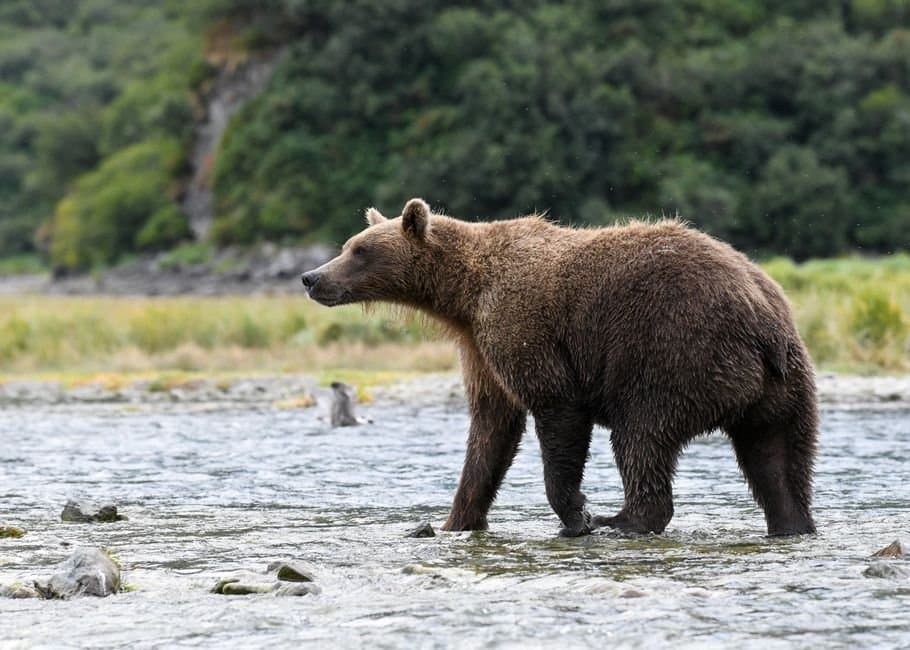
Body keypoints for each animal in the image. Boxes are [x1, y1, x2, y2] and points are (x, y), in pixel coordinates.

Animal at [301, 198, 818, 537]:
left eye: (359, 250)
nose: (311, 277)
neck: (464, 295)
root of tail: (759, 317)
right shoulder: (479, 347)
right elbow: (490, 430)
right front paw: (452, 521)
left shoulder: (522, 325)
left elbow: (556, 411)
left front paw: (578, 516)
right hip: (785, 382)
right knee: (778, 455)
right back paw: (791, 522)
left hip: (674, 352)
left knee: (642, 435)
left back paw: (624, 519)